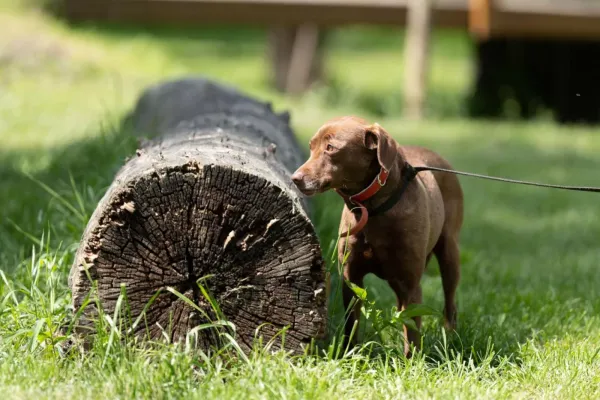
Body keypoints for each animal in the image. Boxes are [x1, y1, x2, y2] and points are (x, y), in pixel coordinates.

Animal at [290, 116, 464, 356]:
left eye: (330, 148)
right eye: (311, 146)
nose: (295, 178)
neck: (373, 209)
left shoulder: (410, 282)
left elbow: (412, 329)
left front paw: (412, 361)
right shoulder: (351, 278)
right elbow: (351, 323)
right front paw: (349, 354)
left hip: (449, 254)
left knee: (450, 301)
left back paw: (451, 336)